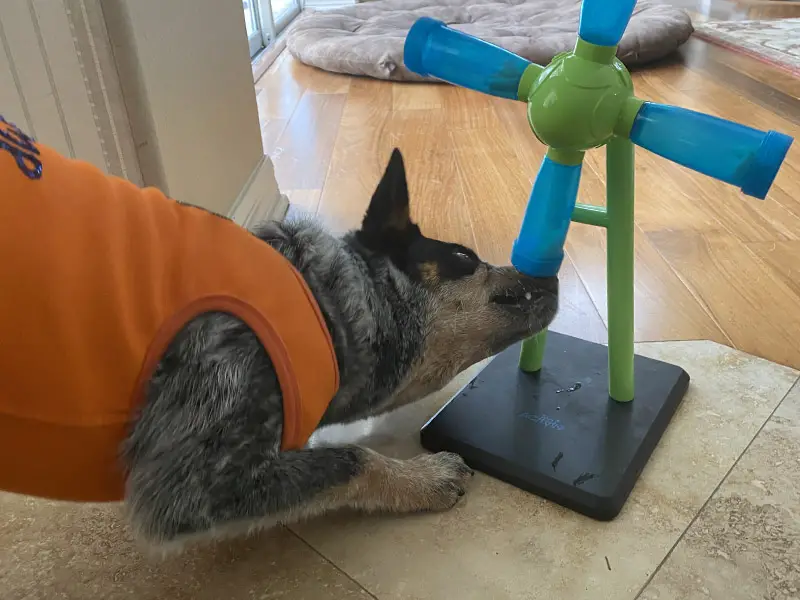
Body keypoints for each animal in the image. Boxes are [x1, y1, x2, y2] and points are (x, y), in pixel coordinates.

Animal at [0, 116, 556, 548]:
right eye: (464, 257)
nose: (550, 275)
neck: (325, 301)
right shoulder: (187, 484)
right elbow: (351, 458)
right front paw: (420, 477)